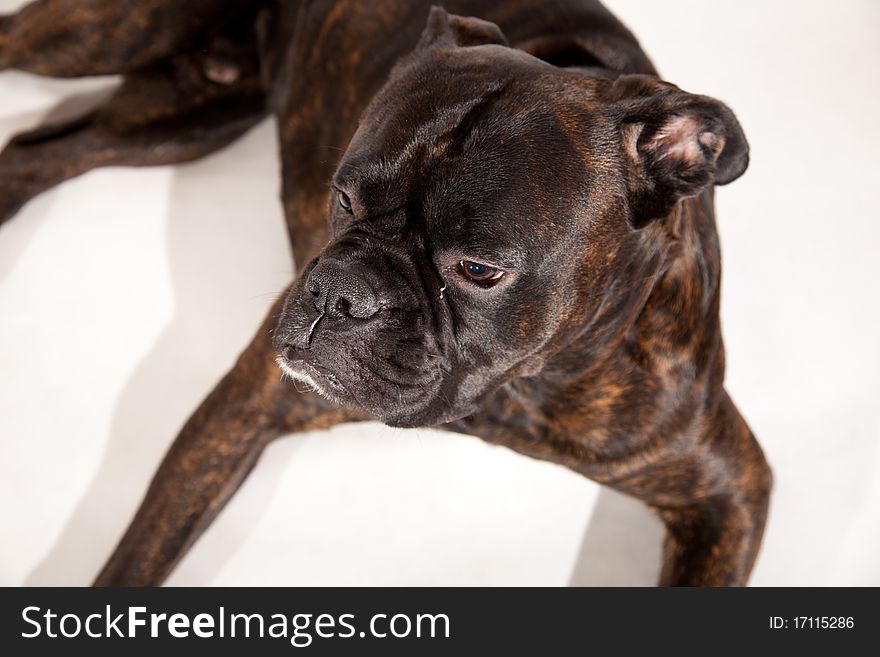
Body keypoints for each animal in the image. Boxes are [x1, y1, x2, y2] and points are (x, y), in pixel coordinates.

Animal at [0, 0, 768, 584]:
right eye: (342, 198)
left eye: (478, 269)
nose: (339, 292)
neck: (517, 385)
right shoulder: (245, 406)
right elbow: (135, 562)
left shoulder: (727, 489)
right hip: (106, 36)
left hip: (188, 118)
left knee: (42, 156)